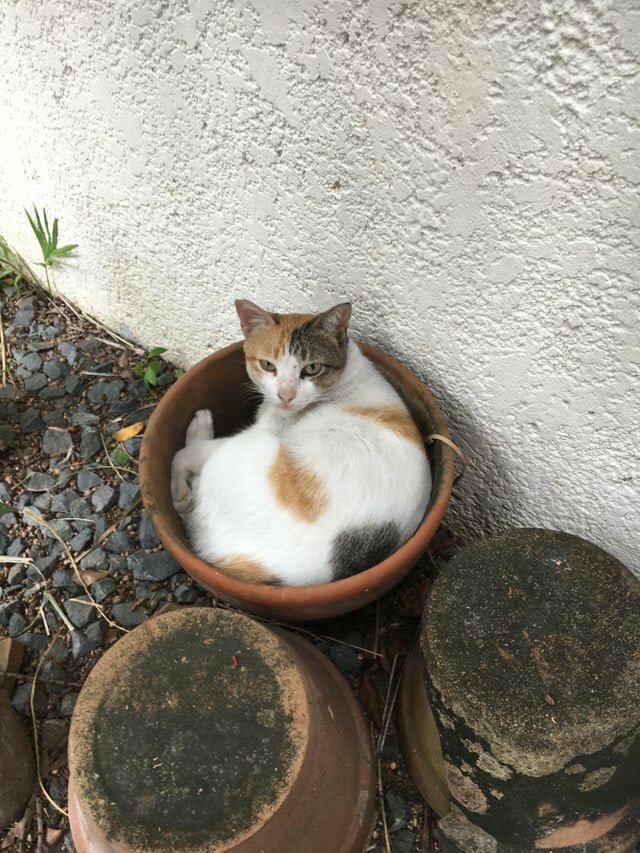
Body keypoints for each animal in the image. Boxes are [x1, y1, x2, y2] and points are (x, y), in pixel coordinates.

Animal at [171, 300, 430, 584]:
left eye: (312, 368)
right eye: (268, 365)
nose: (285, 395)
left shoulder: (259, 433)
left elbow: (183, 456)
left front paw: (178, 484)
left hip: (243, 452)